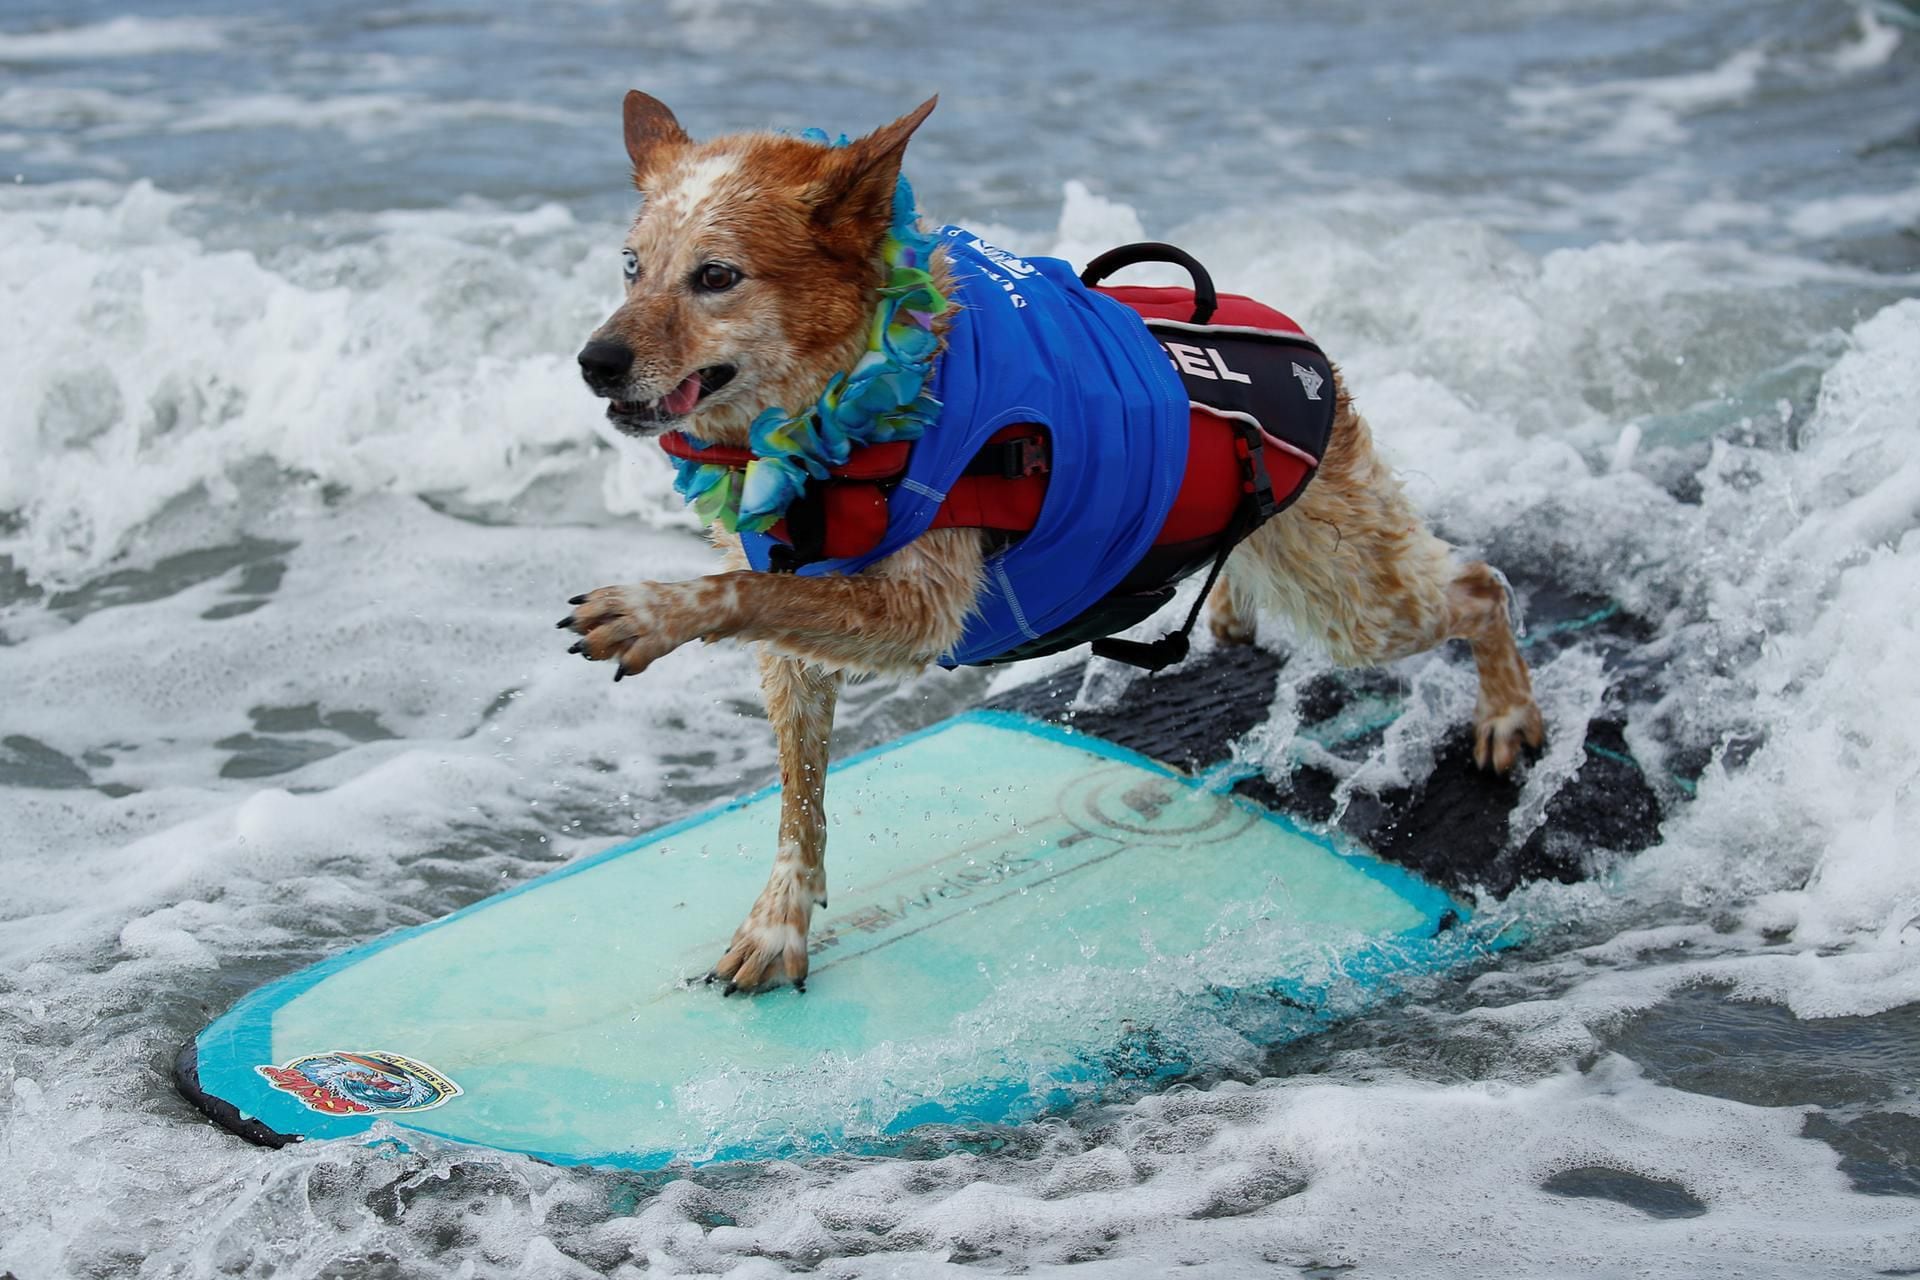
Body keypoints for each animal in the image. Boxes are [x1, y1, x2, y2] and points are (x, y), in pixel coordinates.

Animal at [560, 94, 1543, 997]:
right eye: (631, 266)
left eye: (716, 275)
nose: (594, 362)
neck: (845, 398)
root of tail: (1308, 347)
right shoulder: (794, 638)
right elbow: (799, 795)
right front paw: (780, 924)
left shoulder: (914, 612)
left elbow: (745, 598)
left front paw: (646, 610)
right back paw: (1231, 607)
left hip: (1352, 594)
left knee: (1480, 584)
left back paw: (1506, 713)